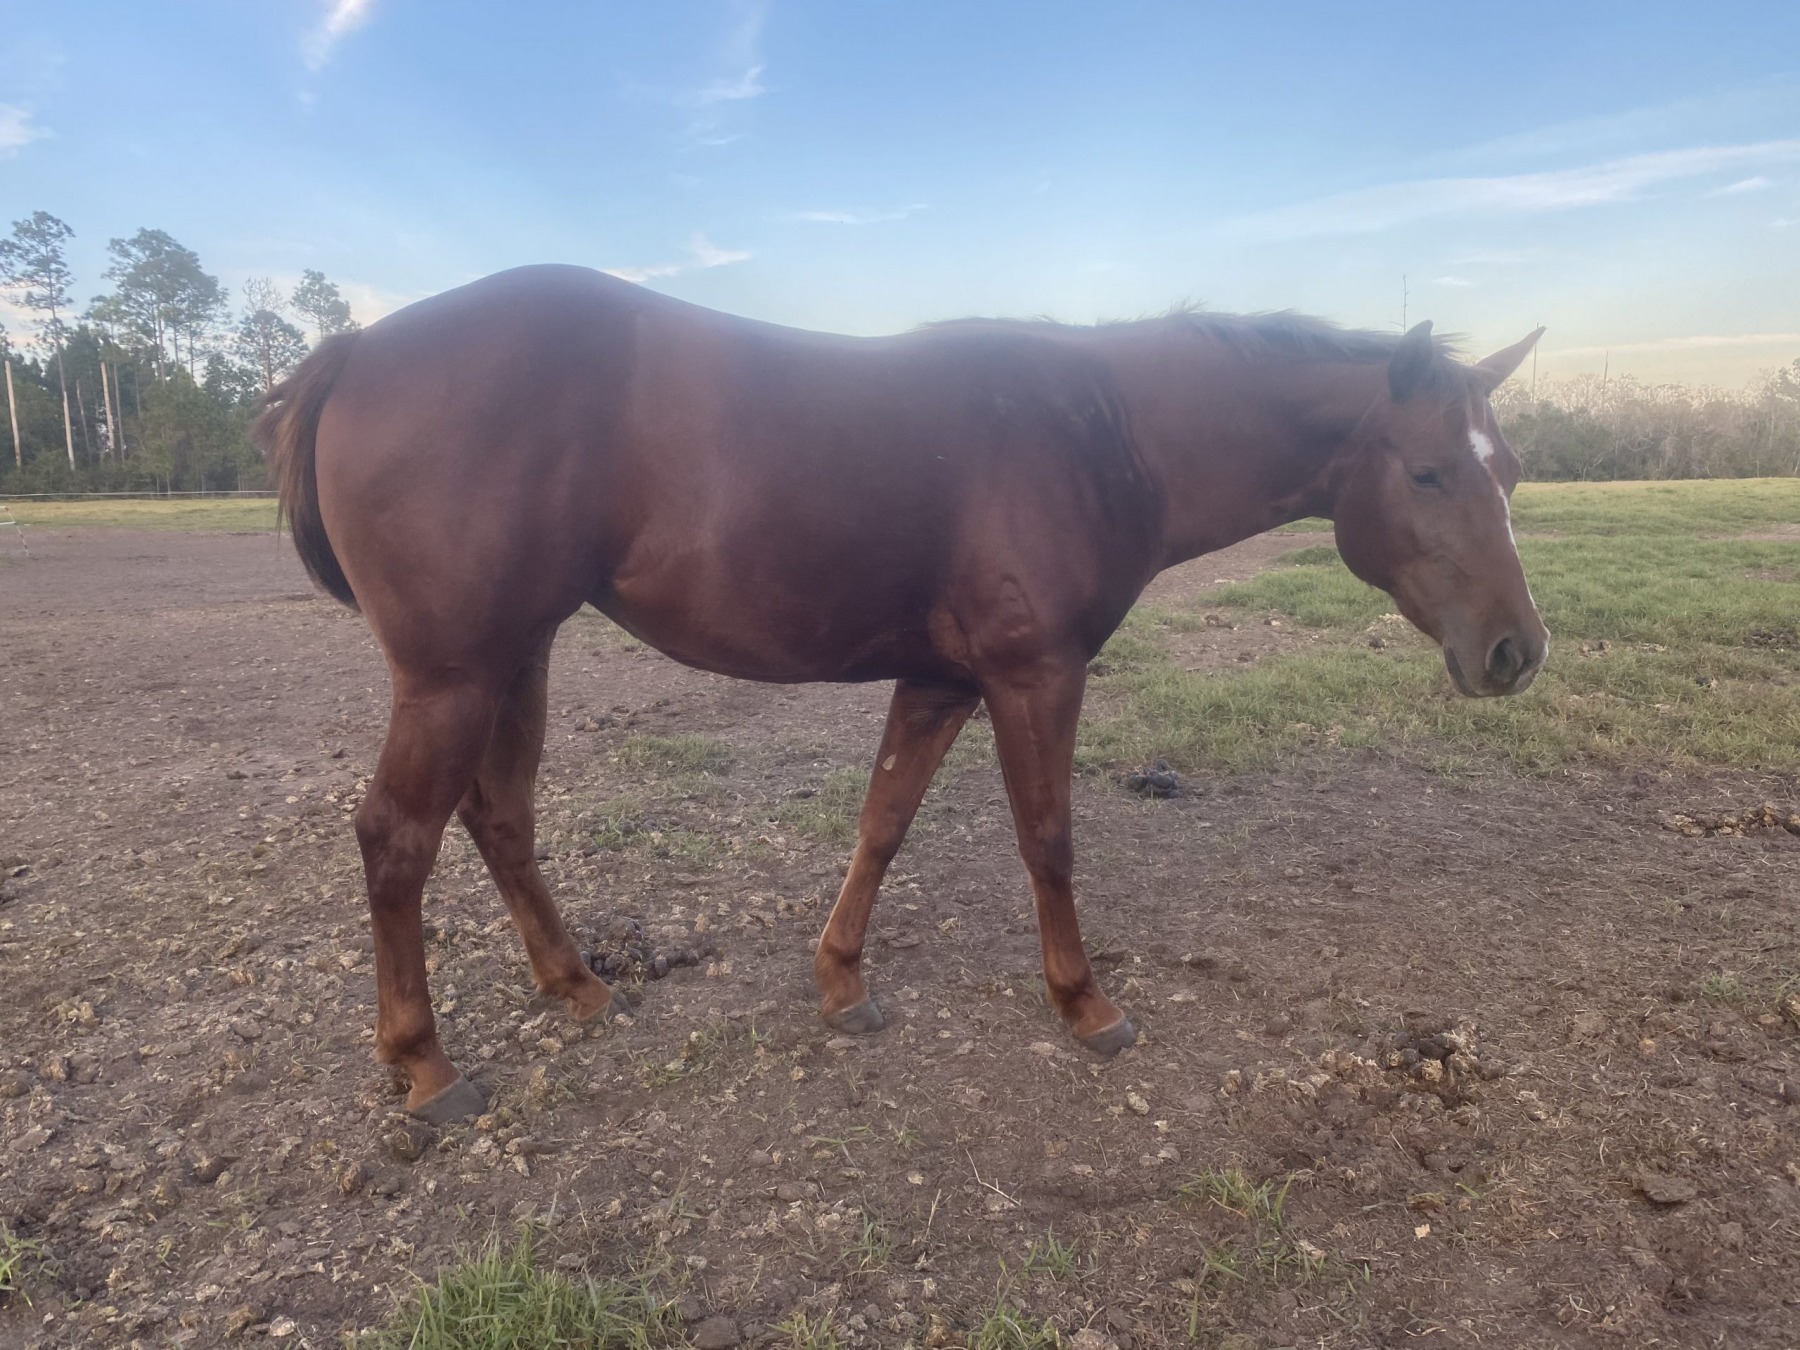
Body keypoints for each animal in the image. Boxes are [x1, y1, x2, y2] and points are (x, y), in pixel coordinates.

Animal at [255, 265, 1547, 1123]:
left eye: (1512, 470)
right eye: (1428, 471)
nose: (1517, 652)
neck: (1102, 431)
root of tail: (357, 351)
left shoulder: (938, 682)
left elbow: (882, 823)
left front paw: (841, 983)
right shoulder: (1035, 676)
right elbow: (1048, 841)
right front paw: (1085, 1005)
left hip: (517, 654)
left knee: (501, 817)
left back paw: (578, 988)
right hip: (455, 674)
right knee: (397, 838)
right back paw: (425, 1066)